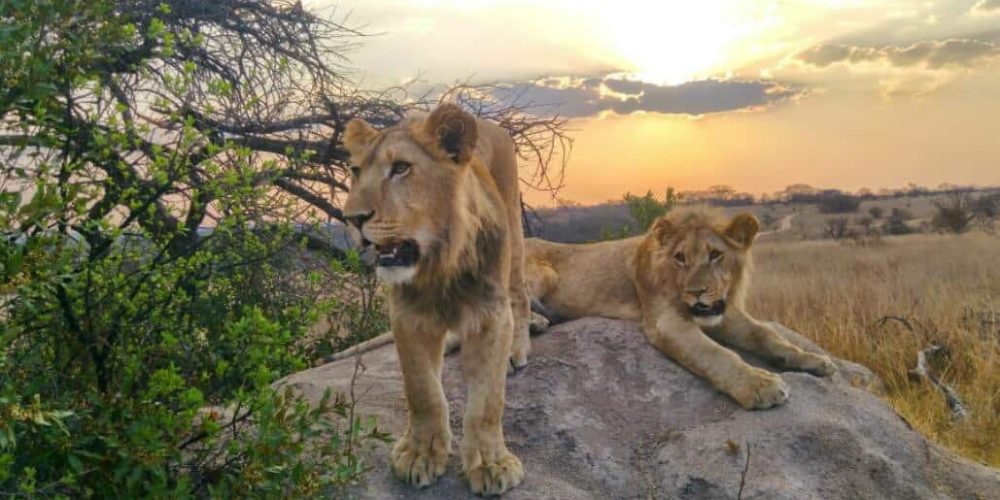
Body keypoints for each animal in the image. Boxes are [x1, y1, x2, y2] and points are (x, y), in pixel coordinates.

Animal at [342, 103, 532, 494]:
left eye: (401, 168)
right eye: (355, 171)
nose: (351, 218)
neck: (438, 267)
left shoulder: (492, 314)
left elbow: (488, 400)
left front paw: (492, 465)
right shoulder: (408, 317)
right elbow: (423, 390)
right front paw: (420, 456)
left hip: (514, 233)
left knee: (520, 295)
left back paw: (517, 350)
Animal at [528, 209, 840, 408]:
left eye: (715, 255)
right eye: (680, 258)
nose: (696, 292)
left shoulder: (723, 313)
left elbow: (766, 334)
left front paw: (812, 359)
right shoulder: (667, 321)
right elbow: (716, 354)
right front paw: (759, 385)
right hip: (544, 273)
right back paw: (535, 321)